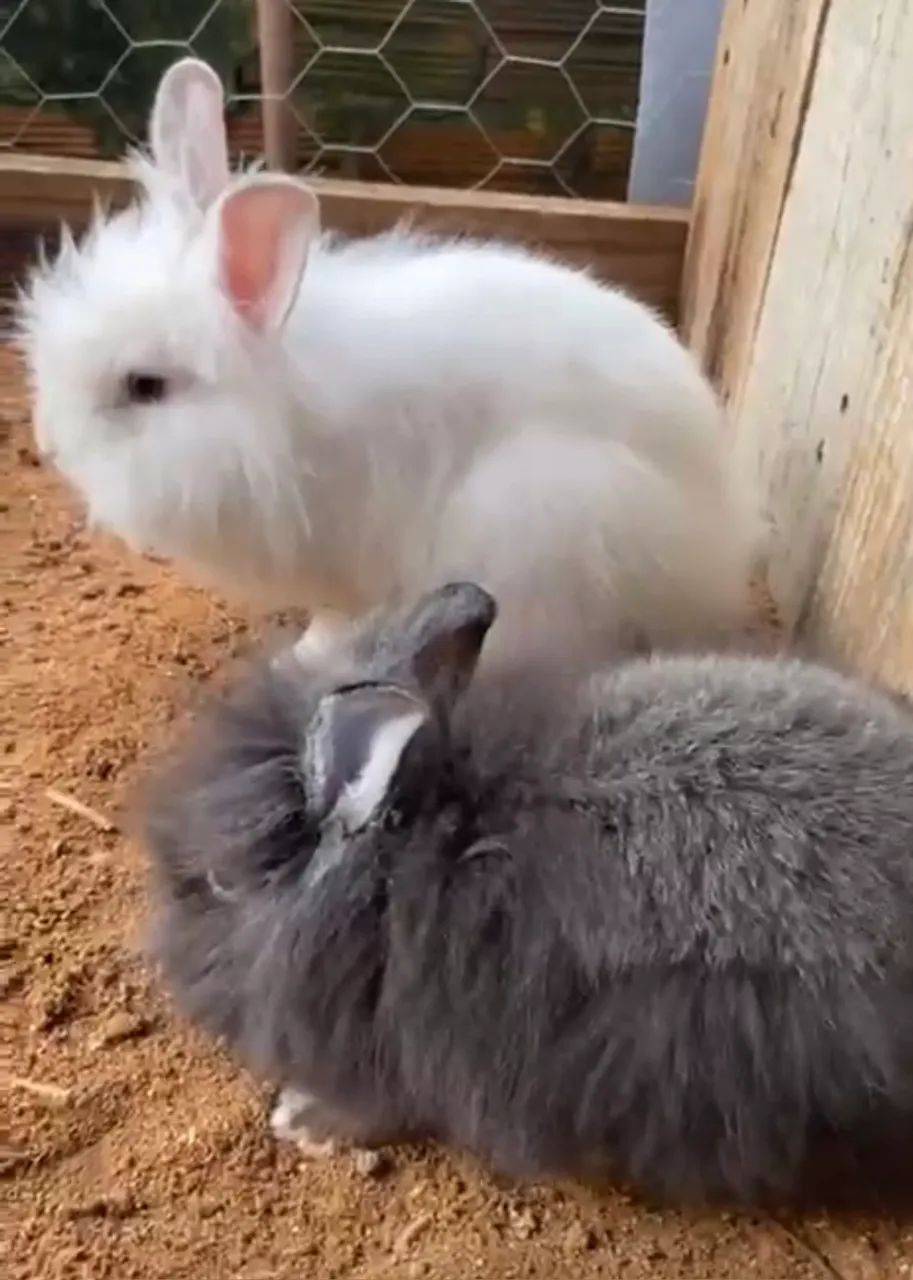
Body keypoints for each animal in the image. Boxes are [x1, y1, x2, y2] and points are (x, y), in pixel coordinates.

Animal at [19, 56, 758, 669]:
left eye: (145, 386)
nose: (50, 447)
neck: (274, 417)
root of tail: (718, 559)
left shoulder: (347, 572)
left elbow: (332, 624)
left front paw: (301, 660)